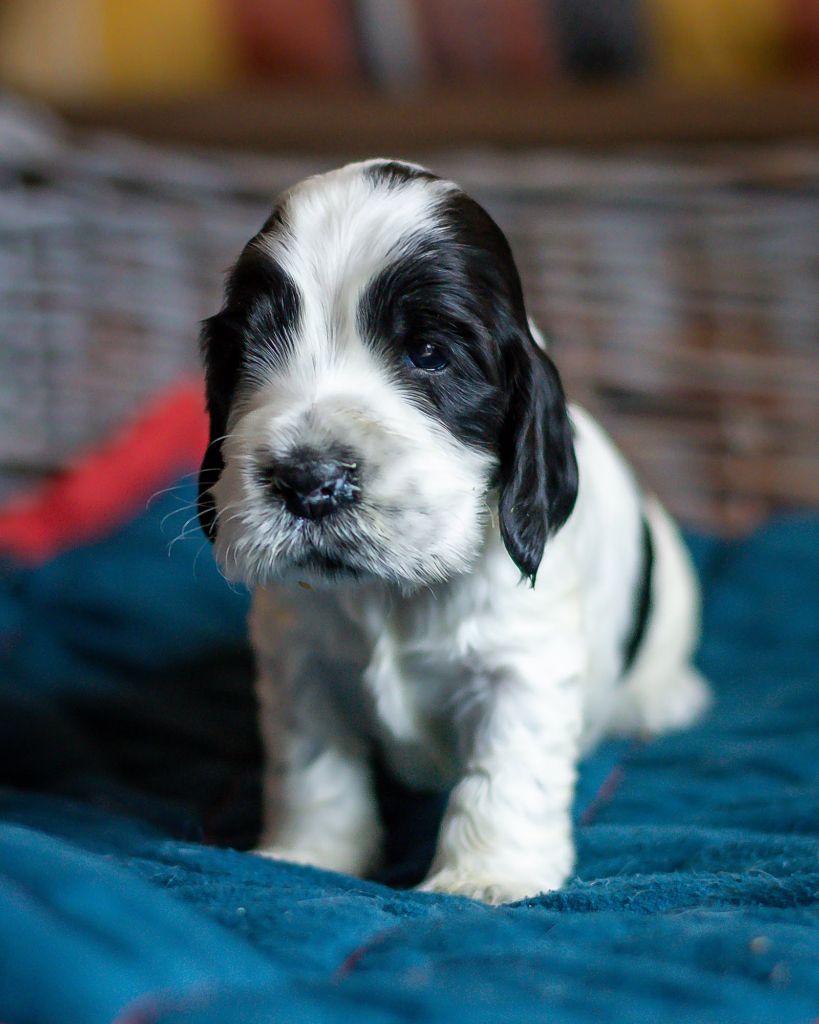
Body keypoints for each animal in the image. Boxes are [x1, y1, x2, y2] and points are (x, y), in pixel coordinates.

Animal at [198, 158, 710, 904]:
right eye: (251, 351)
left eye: (429, 353)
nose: (308, 480)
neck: (397, 591)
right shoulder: (300, 660)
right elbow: (315, 763)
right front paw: (309, 855)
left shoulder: (523, 666)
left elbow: (505, 772)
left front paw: (485, 876)